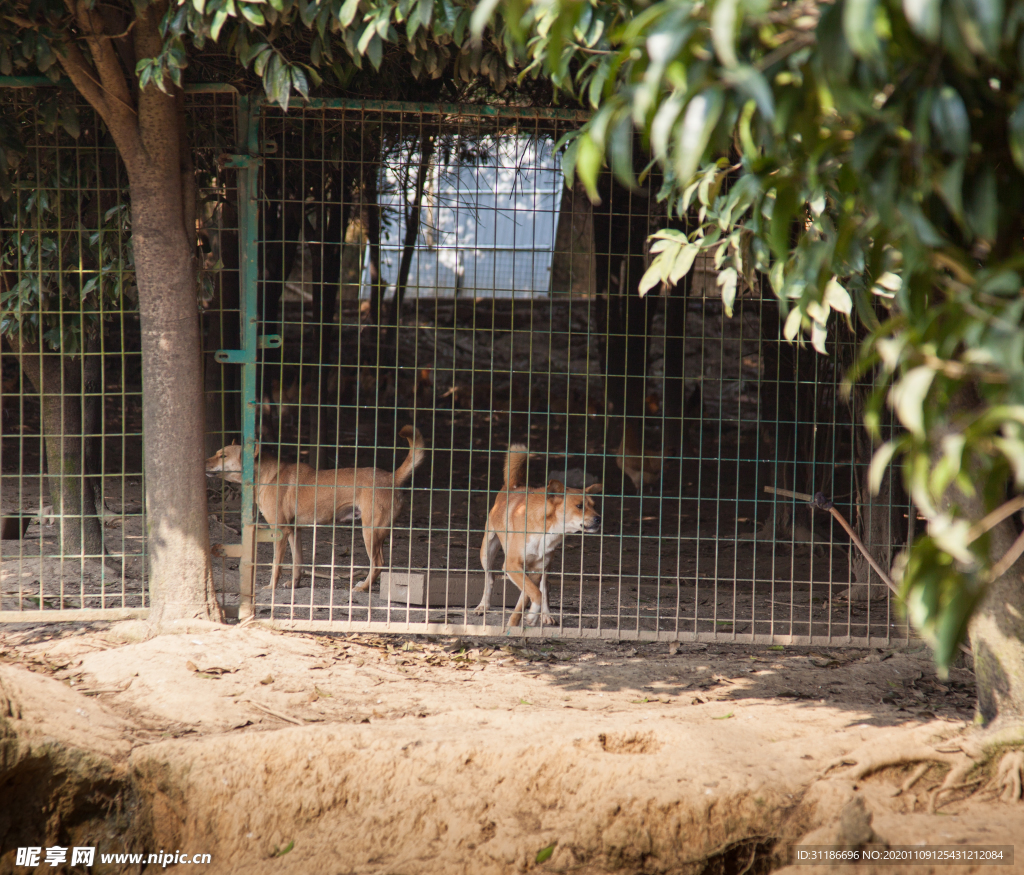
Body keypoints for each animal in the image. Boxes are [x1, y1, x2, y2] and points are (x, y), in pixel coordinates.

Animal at [205, 426, 425, 594]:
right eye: (216, 452)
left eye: (223, 456)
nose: (203, 461)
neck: (268, 476)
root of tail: (391, 478)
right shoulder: (294, 531)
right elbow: (297, 563)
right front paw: (294, 584)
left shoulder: (280, 531)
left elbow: (276, 565)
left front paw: (271, 587)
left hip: (370, 532)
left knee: (378, 563)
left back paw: (362, 588)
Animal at [477, 448, 598, 627]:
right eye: (579, 506)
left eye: (594, 506)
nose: (599, 519)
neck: (546, 530)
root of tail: (514, 485)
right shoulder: (512, 564)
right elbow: (532, 594)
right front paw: (518, 621)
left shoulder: (536, 569)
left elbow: (533, 595)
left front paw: (530, 617)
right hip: (487, 551)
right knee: (490, 579)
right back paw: (483, 605)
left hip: (545, 566)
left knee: (544, 587)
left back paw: (545, 614)